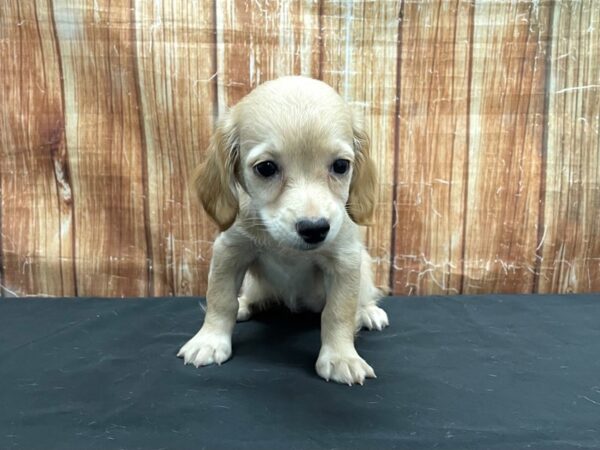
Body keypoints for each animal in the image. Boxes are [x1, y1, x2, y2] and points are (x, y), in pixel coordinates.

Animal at [178, 75, 390, 384]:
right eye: (266, 168)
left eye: (341, 165)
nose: (315, 229)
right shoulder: (230, 251)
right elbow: (220, 299)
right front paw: (210, 340)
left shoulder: (345, 261)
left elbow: (338, 312)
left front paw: (341, 357)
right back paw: (246, 304)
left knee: (363, 298)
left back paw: (368, 313)